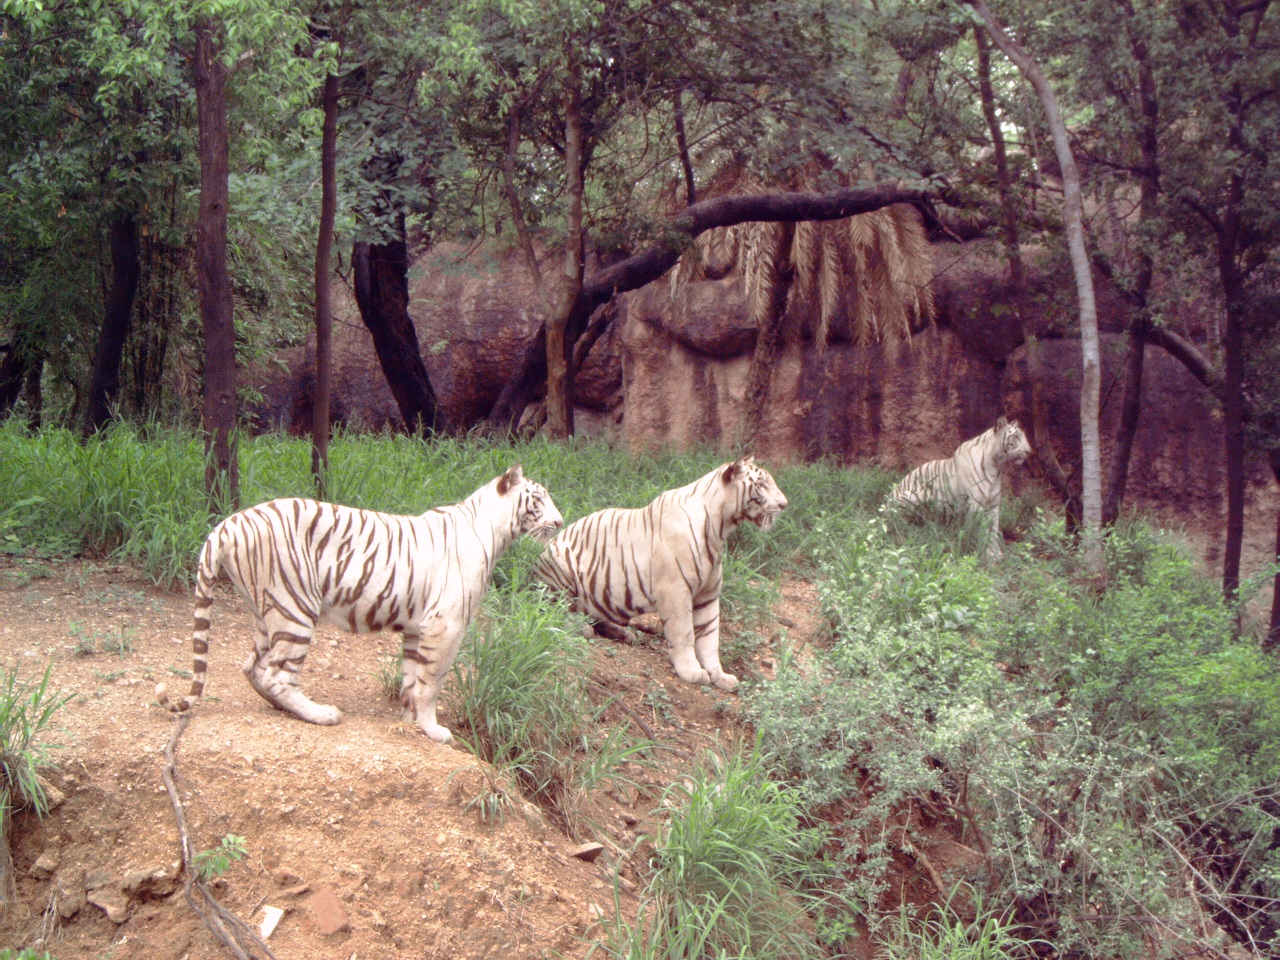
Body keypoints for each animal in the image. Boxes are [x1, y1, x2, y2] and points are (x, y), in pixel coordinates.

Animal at [156, 464, 563, 743]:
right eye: (538, 499)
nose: (560, 522)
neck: (496, 532)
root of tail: (226, 524)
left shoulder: (417, 627)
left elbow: (412, 678)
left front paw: (409, 720)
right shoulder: (445, 624)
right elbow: (432, 681)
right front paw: (434, 730)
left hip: (266, 609)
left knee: (252, 666)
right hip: (295, 607)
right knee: (276, 675)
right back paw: (322, 714)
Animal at [533, 456, 787, 692]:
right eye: (762, 485)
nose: (785, 504)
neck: (721, 527)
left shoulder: (707, 595)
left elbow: (709, 639)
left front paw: (720, 676)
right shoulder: (675, 589)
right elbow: (685, 633)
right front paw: (691, 671)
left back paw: (623, 633)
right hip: (561, 569)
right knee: (555, 611)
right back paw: (581, 628)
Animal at [887, 416, 1031, 559]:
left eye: (1023, 436)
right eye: (1016, 437)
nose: (1029, 451)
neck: (995, 466)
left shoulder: (993, 504)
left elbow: (993, 530)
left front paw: (994, 553)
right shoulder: (976, 503)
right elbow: (980, 529)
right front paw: (981, 552)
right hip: (912, 497)